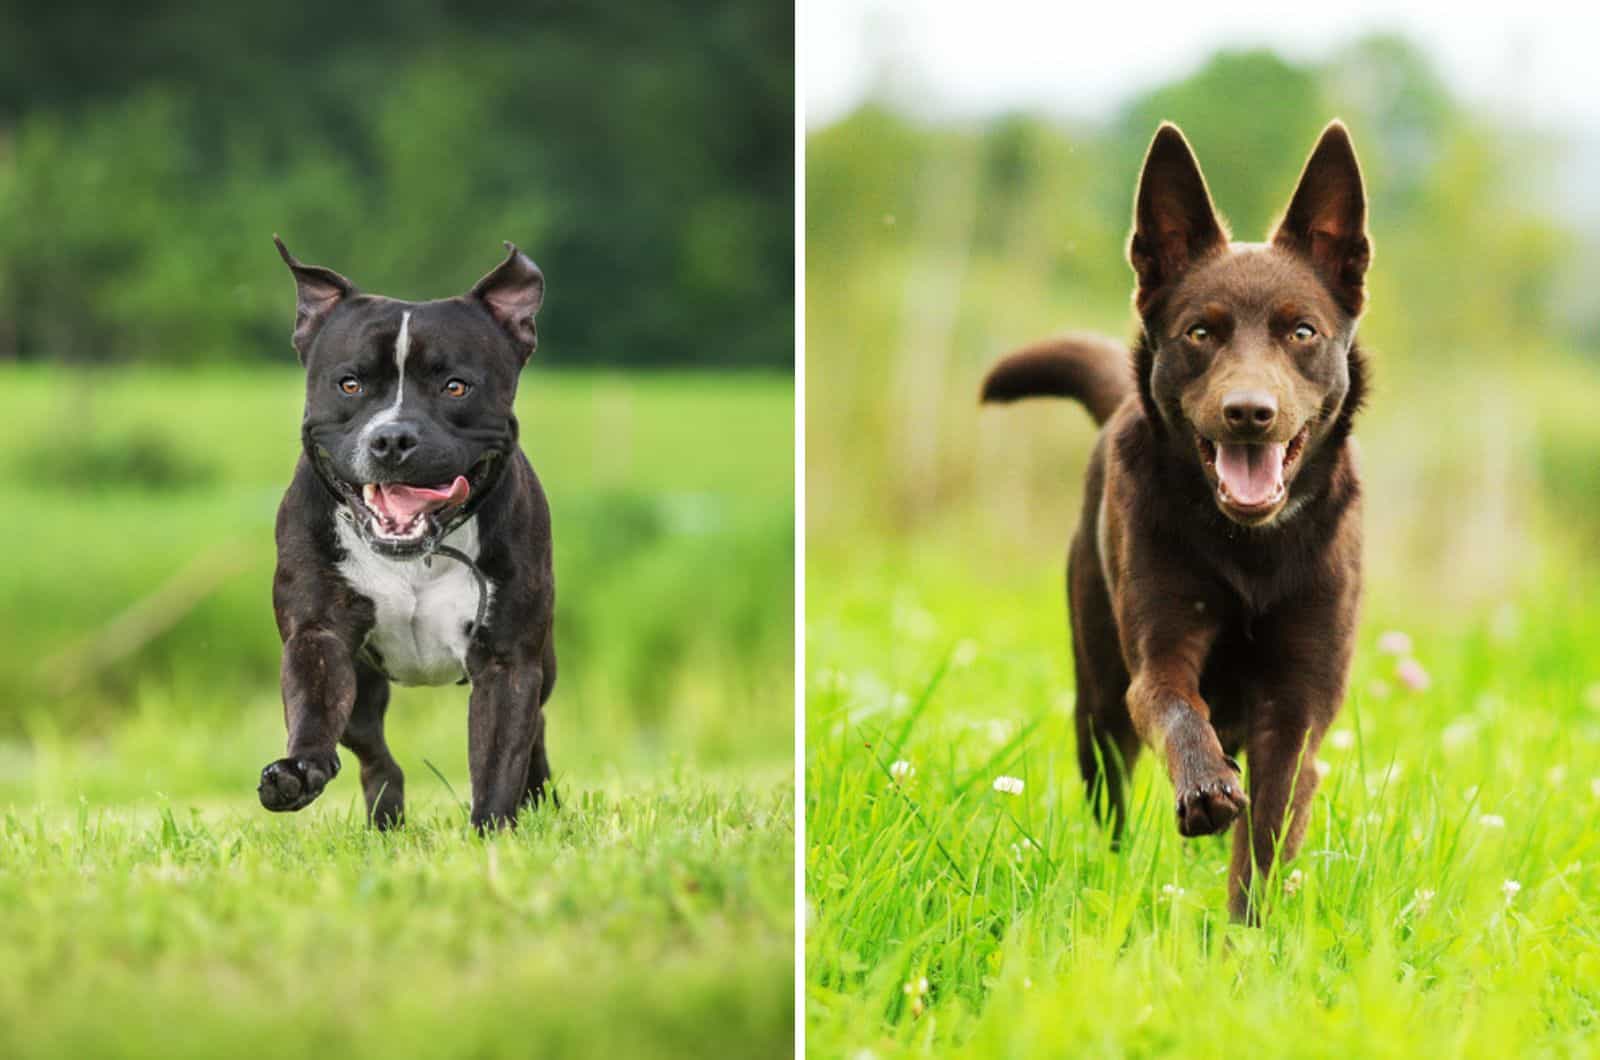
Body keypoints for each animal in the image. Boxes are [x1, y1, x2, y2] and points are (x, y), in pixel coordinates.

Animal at [260, 240, 556, 832]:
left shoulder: (509, 662)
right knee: (375, 755)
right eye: (350, 384)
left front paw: (493, 834)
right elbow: (313, 706)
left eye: (455, 386)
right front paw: (298, 769)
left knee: (534, 734)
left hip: (545, 668)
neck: (417, 558)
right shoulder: (317, 634)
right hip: (364, 690)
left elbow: (498, 759)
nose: (393, 438)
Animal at [979, 122, 1369, 922]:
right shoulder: (1158, 654)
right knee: (1114, 793)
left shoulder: (1297, 705)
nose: (1248, 412)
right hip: (1096, 695)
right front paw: (1204, 788)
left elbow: (1266, 833)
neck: (1250, 550)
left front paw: (1247, 936)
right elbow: (1175, 705)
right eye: (1199, 333)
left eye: (1302, 332)